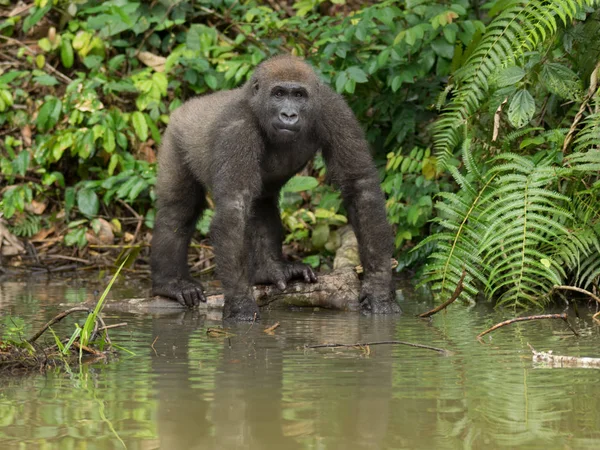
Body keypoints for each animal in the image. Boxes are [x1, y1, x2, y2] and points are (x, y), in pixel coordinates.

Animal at [152, 54, 400, 320]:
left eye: (299, 95)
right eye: (279, 94)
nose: (289, 115)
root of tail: (189, 105)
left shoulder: (334, 109)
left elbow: (359, 186)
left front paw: (378, 288)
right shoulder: (237, 128)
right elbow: (234, 207)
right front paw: (240, 303)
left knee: (261, 203)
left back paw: (269, 270)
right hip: (176, 134)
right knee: (178, 211)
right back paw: (170, 283)